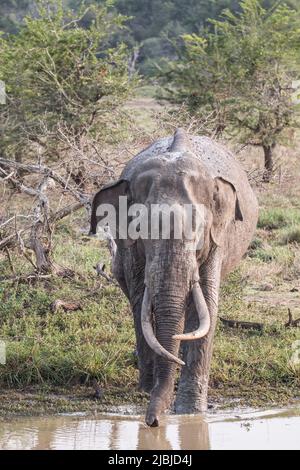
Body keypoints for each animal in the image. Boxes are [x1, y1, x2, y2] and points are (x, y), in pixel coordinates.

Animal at [89, 127, 258, 426]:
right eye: (142, 230)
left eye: (198, 232)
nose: (152, 422)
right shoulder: (131, 247)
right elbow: (140, 303)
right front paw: (149, 390)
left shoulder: (218, 237)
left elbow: (208, 306)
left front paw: (191, 411)